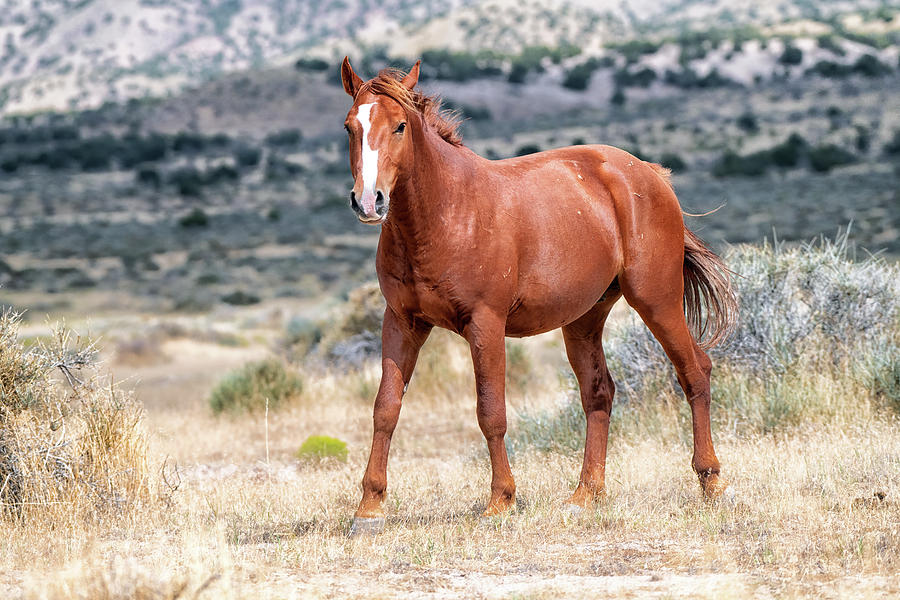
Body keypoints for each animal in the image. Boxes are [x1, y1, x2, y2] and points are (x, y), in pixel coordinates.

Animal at [340, 57, 740, 536]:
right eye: (350, 127)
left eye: (400, 126)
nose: (369, 201)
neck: (446, 211)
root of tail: (647, 173)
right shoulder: (402, 321)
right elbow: (386, 408)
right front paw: (369, 507)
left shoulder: (485, 323)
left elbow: (491, 412)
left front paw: (500, 500)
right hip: (584, 319)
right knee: (599, 394)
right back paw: (584, 495)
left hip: (657, 301)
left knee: (694, 371)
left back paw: (712, 480)